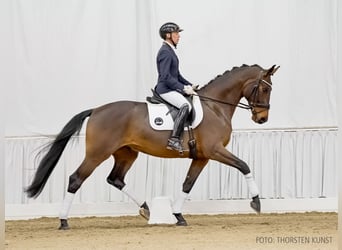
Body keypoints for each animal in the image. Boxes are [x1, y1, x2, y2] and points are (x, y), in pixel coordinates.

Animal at [25, 64, 280, 229]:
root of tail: (96, 110)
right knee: (76, 179)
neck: (214, 107)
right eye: (265, 89)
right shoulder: (215, 150)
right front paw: (256, 202)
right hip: (98, 153)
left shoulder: (201, 157)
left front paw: (178, 216)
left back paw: (146, 208)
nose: (262, 119)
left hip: (126, 154)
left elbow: (187, 184)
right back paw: (63, 221)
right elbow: (244, 165)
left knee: (115, 179)